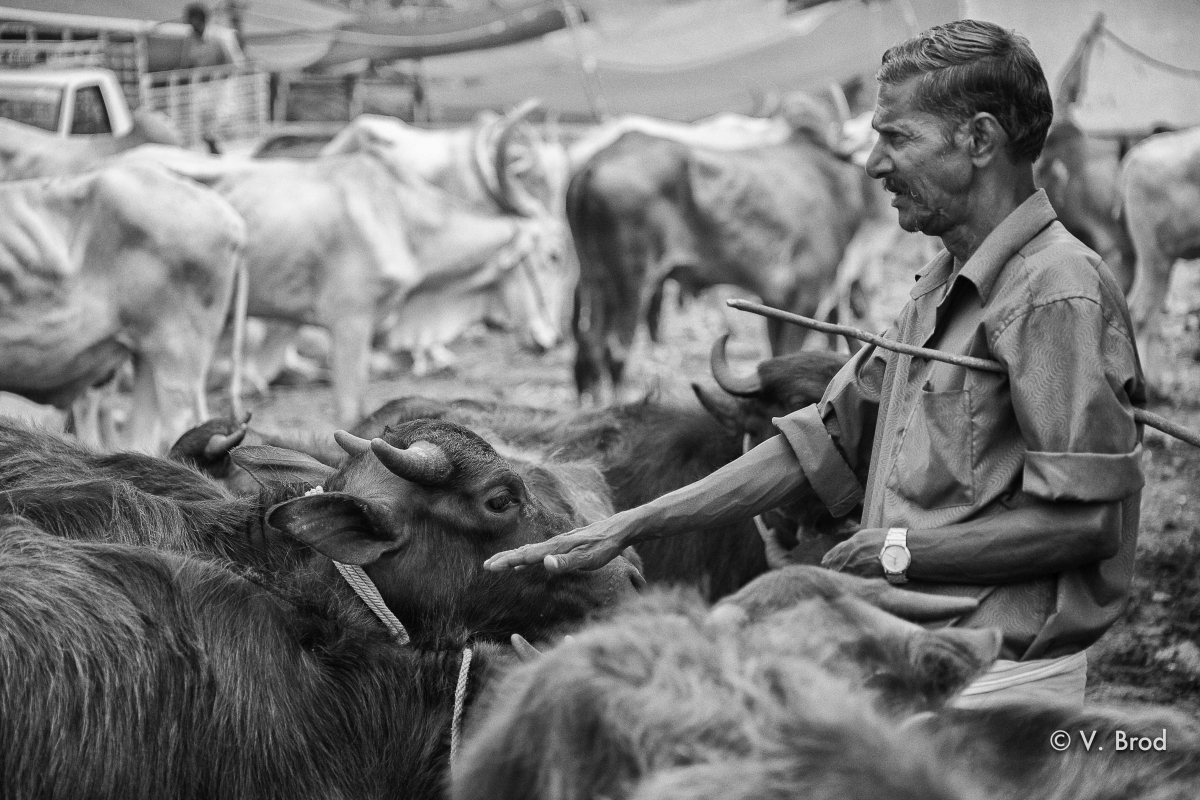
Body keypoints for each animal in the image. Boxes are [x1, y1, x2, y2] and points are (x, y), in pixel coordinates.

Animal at [566, 115, 878, 402]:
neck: (832, 180)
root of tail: (593, 165)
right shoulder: (805, 298)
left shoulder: (775, 304)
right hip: (632, 283)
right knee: (615, 352)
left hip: (596, 280)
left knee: (591, 347)